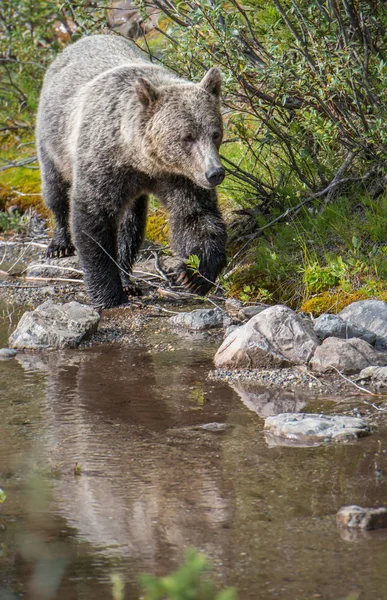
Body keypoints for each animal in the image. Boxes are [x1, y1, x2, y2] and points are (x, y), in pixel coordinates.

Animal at [36, 33, 227, 308]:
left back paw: (127, 277)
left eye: (215, 133)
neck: (141, 158)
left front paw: (193, 275)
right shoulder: (104, 164)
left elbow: (195, 215)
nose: (215, 173)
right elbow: (93, 216)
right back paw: (60, 244)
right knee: (55, 190)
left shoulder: (180, 176)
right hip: (53, 138)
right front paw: (107, 293)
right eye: (187, 137)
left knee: (131, 224)